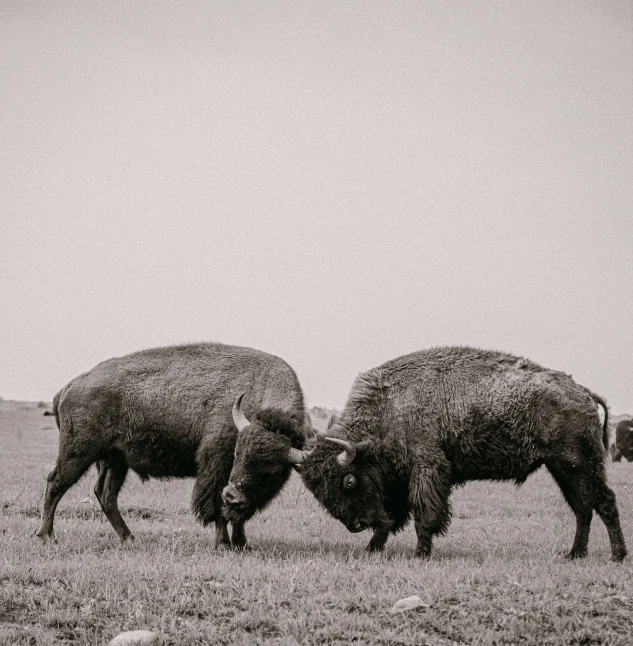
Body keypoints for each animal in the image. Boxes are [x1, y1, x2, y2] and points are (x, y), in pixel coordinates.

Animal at [35, 342, 308, 548]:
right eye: (237, 454)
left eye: (273, 472)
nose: (233, 496)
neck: (258, 389)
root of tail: (69, 387)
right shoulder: (216, 469)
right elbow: (216, 508)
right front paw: (223, 544)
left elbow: (240, 516)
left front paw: (242, 544)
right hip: (78, 452)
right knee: (56, 483)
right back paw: (46, 535)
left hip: (114, 459)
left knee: (105, 494)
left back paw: (129, 537)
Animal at [226, 346, 628, 564]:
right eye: (319, 492)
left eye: (349, 480)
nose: (355, 525)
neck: (389, 408)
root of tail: (582, 391)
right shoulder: (396, 482)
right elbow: (392, 517)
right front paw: (374, 547)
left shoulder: (427, 469)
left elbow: (422, 513)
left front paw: (421, 552)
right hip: (562, 467)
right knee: (582, 507)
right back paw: (574, 554)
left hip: (580, 463)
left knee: (603, 502)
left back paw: (617, 556)